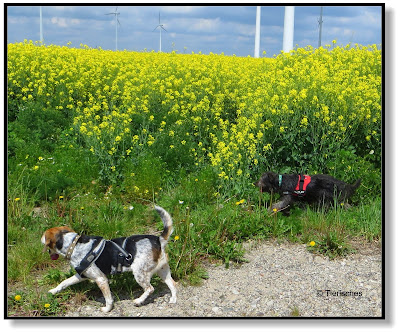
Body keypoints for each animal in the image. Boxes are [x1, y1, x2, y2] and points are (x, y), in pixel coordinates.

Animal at [41, 205, 177, 312]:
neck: (73, 245)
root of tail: (158, 240)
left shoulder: (101, 279)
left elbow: (108, 298)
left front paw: (107, 309)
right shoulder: (82, 275)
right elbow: (64, 282)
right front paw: (54, 291)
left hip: (139, 273)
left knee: (150, 288)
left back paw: (138, 300)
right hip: (162, 271)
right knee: (173, 284)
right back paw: (173, 299)